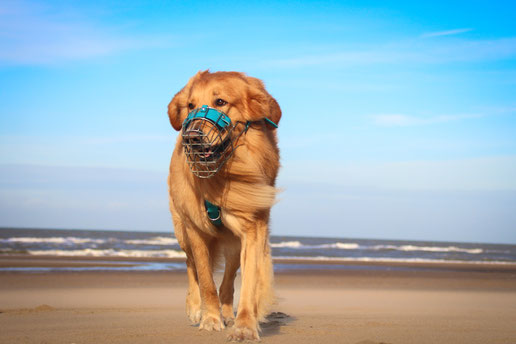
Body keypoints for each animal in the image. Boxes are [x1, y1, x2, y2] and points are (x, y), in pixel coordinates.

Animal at [167, 70, 282, 342]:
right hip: (182, 231)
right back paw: (195, 307)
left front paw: (245, 326)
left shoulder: (252, 229)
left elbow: (248, 284)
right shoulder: (195, 229)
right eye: (190, 105)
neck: (225, 173)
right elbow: (206, 280)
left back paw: (228, 313)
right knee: (191, 266)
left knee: (228, 280)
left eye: (220, 102)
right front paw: (209, 318)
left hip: (233, 245)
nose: (192, 137)